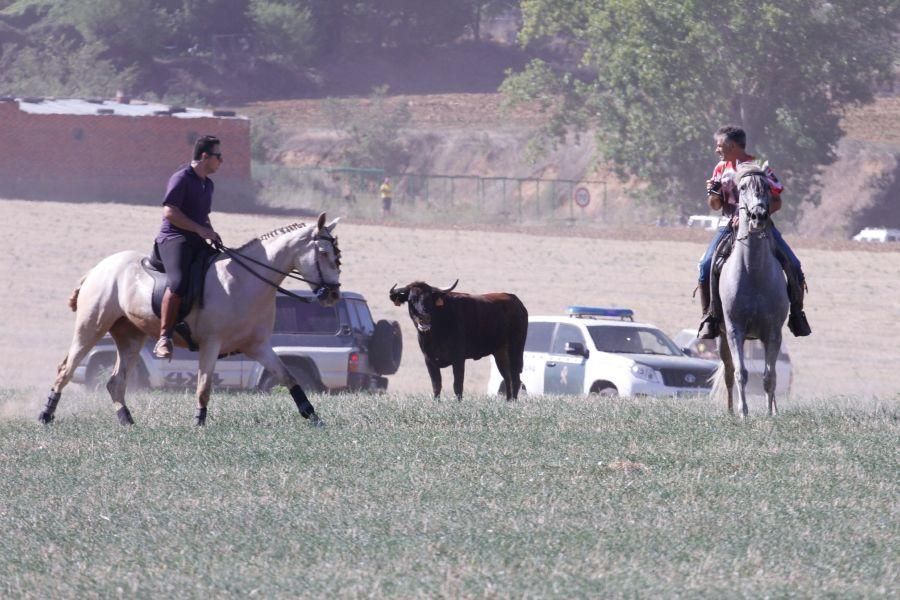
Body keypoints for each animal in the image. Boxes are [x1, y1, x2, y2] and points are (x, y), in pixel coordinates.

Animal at [38, 211, 342, 426]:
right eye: (324, 253)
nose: (333, 294)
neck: (243, 281)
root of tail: (98, 268)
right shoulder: (211, 344)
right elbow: (204, 386)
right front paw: (199, 422)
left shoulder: (258, 346)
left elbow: (289, 378)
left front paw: (314, 417)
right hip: (92, 327)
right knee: (66, 370)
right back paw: (46, 415)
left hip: (130, 336)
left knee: (115, 382)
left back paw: (127, 421)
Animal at [388, 280, 528, 400]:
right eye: (411, 300)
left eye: (429, 299)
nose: (424, 318)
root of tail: (516, 302)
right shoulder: (429, 360)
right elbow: (436, 386)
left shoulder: (458, 359)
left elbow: (457, 386)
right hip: (500, 353)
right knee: (507, 376)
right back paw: (508, 401)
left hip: (515, 349)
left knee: (515, 377)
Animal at [712, 164, 788, 418]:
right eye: (742, 187)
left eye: (766, 186)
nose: (759, 216)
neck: (753, 271)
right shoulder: (735, 330)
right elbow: (740, 373)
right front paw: (743, 412)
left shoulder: (773, 332)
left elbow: (769, 376)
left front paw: (769, 413)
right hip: (722, 338)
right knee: (728, 372)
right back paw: (730, 411)